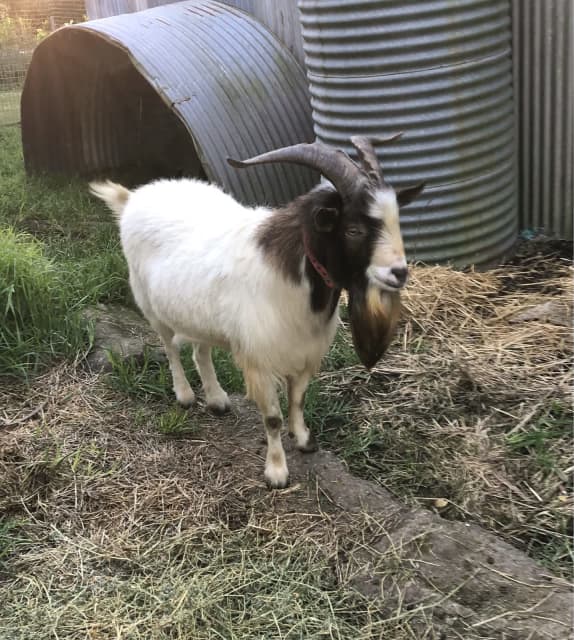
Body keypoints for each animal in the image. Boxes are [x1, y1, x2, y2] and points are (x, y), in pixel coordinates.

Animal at [90, 136, 425, 488]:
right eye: (354, 230)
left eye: (396, 219)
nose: (400, 273)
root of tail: (135, 197)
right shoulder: (260, 359)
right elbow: (273, 418)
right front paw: (276, 472)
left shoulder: (303, 353)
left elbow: (298, 400)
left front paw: (304, 440)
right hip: (150, 305)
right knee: (170, 349)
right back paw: (184, 395)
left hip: (199, 316)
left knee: (200, 352)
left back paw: (217, 399)